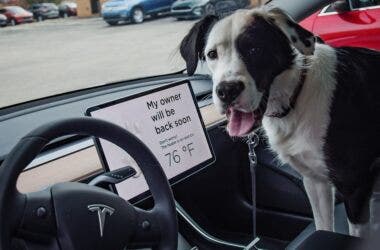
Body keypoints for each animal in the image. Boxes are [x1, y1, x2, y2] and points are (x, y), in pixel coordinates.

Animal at [180, 6, 380, 236]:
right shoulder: (315, 181)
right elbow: (323, 227)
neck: (295, 95)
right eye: (212, 54)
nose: (226, 91)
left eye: (254, 49)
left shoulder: (355, 188)